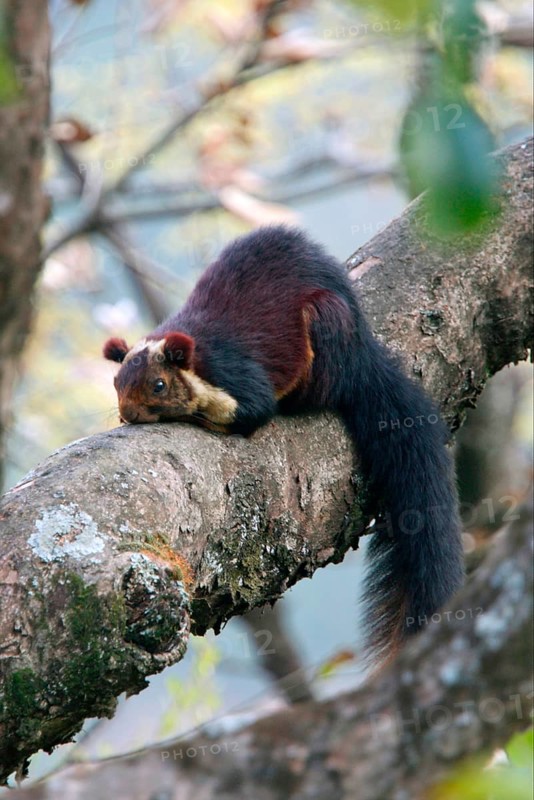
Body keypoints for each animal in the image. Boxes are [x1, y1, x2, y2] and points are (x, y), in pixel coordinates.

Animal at [103, 225, 464, 660]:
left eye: (158, 385)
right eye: (116, 382)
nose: (129, 414)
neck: (198, 360)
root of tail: (362, 351)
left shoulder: (238, 379)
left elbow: (250, 413)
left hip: (324, 328)